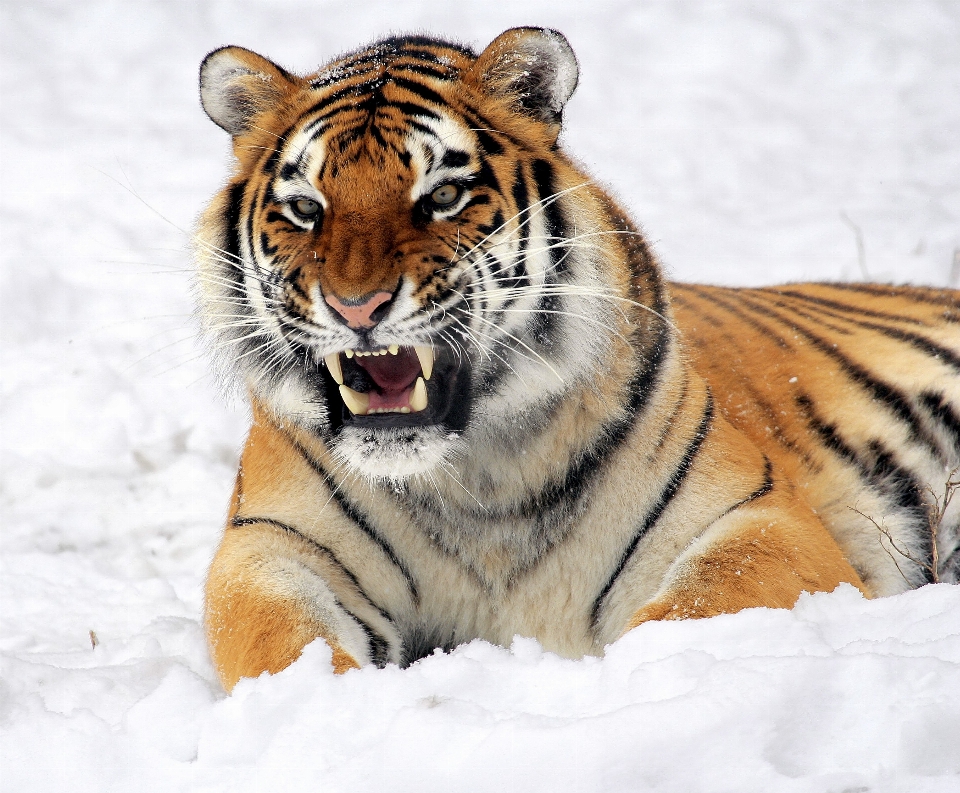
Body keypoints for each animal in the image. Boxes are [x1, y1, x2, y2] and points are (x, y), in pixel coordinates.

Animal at [195, 27, 960, 688]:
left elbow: (692, 609)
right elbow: (279, 645)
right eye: (306, 208)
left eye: (443, 195)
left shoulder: (758, 516)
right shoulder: (270, 546)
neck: (475, 480)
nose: (357, 307)